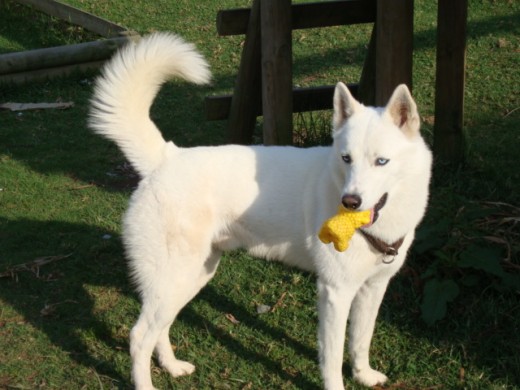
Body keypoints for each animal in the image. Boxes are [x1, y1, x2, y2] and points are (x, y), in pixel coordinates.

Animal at [90, 33, 430, 390]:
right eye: (346, 158)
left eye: (382, 161)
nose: (350, 201)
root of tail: (166, 156)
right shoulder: (335, 293)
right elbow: (333, 358)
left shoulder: (373, 288)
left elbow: (361, 340)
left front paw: (364, 375)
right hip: (175, 278)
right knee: (139, 336)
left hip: (191, 278)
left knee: (160, 328)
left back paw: (172, 366)